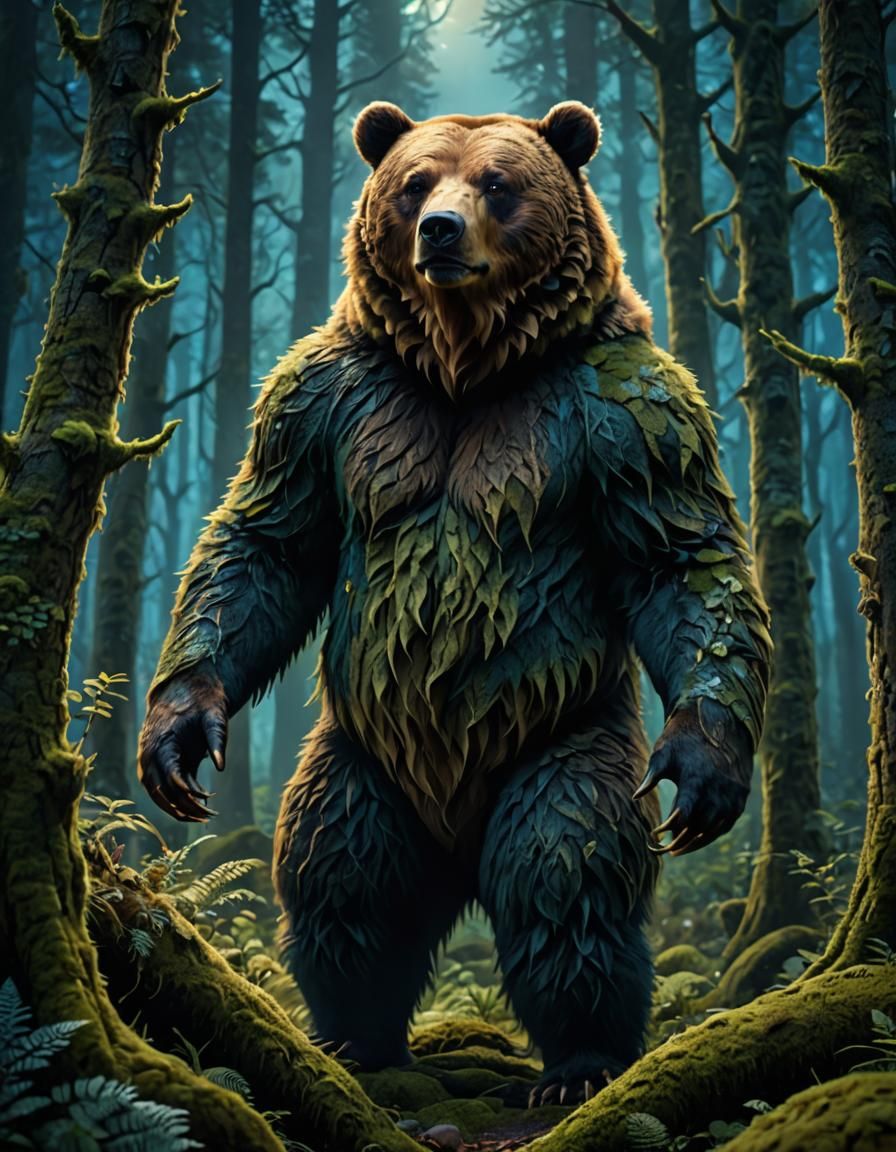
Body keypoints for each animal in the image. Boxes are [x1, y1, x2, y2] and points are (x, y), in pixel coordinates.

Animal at [138, 101, 771, 1102]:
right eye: (414, 182)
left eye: (497, 184)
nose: (439, 230)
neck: (464, 364)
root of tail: (455, 841)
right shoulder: (328, 400)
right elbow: (265, 539)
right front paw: (177, 733)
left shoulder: (625, 409)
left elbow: (679, 554)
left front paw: (706, 766)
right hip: (360, 756)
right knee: (342, 876)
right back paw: (354, 1037)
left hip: (563, 735)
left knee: (565, 875)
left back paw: (580, 1060)